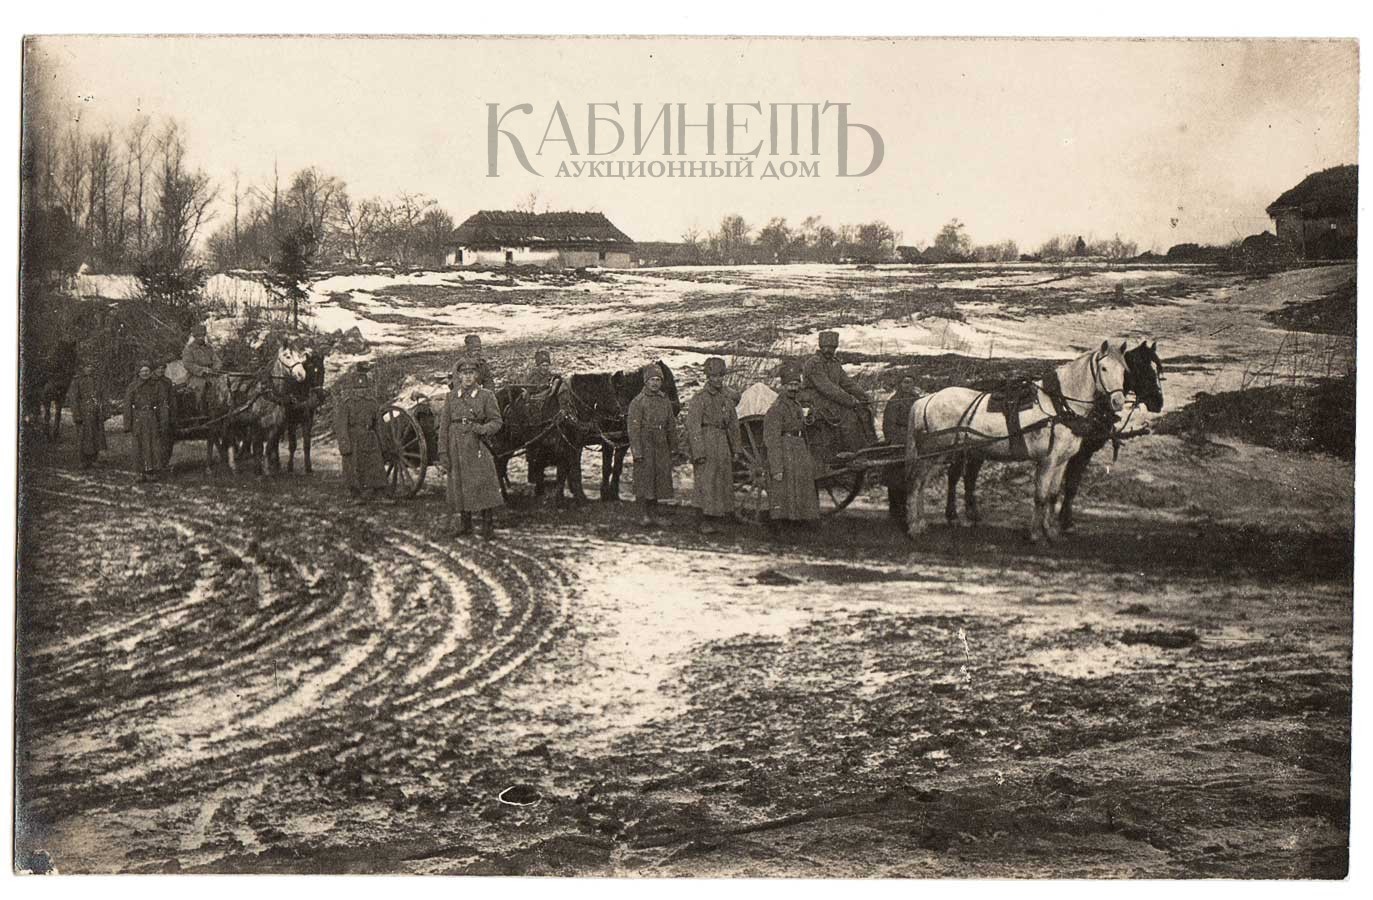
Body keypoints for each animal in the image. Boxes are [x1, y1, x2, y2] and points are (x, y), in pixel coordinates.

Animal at [560, 361, 680, 500]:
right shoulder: (607, 441)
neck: (624, 401)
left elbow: (617, 467)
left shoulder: (623, 442)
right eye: (669, 381)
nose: (678, 407)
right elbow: (607, 467)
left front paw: (614, 493)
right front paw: (605, 493)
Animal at [905, 341, 1129, 542]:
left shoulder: (1062, 461)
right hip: (933, 454)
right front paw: (1035, 534)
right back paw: (914, 527)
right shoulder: (1047, 460)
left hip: (942, 454)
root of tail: (927, 399)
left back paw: (923, 522)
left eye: (1123, 370)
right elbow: (1040, 496)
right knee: (916, 483)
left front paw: (1051, 531)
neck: (1059, 406)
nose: (1118, 402)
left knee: (924, 483)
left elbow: (1053, 495)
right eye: (1104, 368)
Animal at [943, 341, 1164, 532]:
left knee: (970, 477)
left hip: (977, 449)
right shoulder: (1072, 455)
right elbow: (1068, 487)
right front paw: (1064, 523)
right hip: (961, 449)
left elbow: (1060, 490)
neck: (1063, 405)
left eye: (1125, 370)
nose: (1159, 402)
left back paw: (973, 515)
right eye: (1143, 368)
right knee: (954, 476)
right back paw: (952, 516)